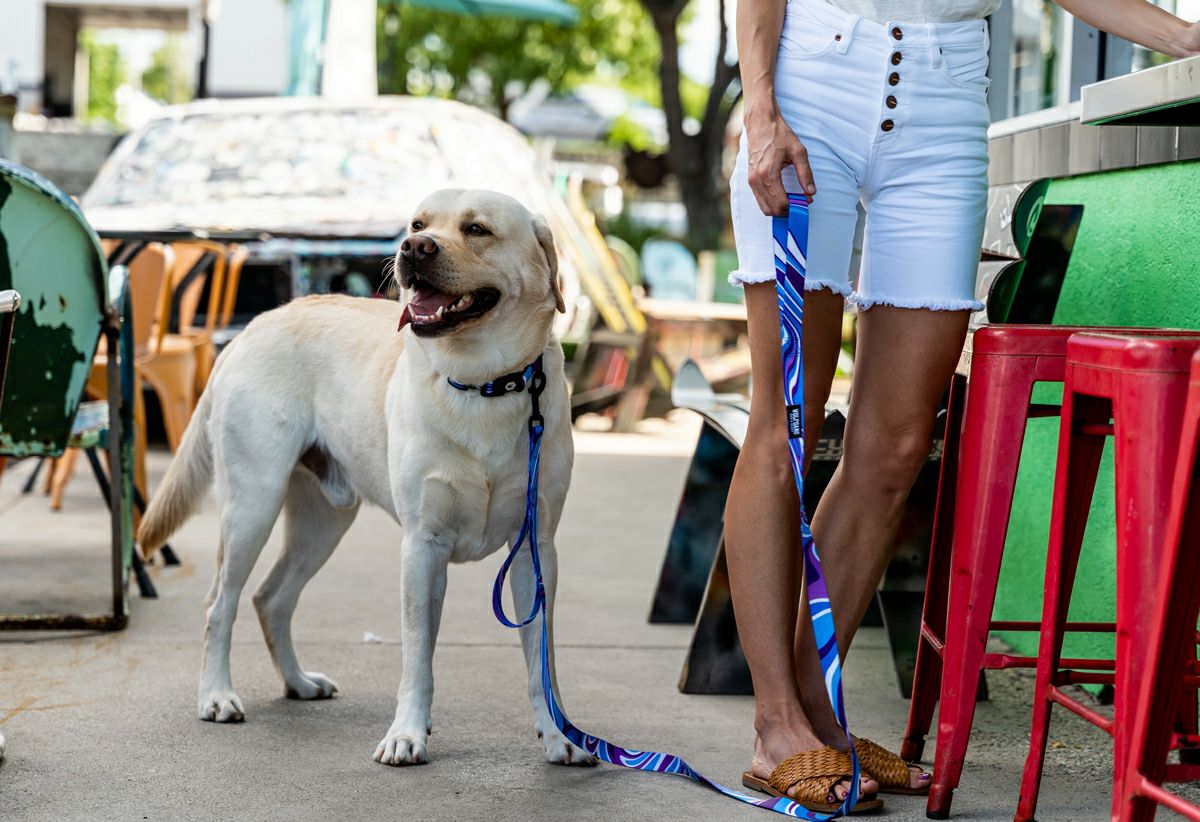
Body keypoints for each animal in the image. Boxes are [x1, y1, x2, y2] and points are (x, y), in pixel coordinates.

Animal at [138, 188, 594, 767]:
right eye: (419, 224)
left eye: (476, 229)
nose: (413, 248)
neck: (484, 383)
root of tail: (253, 326)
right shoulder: (422, 546)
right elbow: (417, 656)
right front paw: (407, 734)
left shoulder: (536, 549)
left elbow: (542, 659)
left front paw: (560, 735)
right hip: (252, 506)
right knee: (221, 603)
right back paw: (216, 695)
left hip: (324, 520)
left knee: (271, 597)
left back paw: (298, 682)